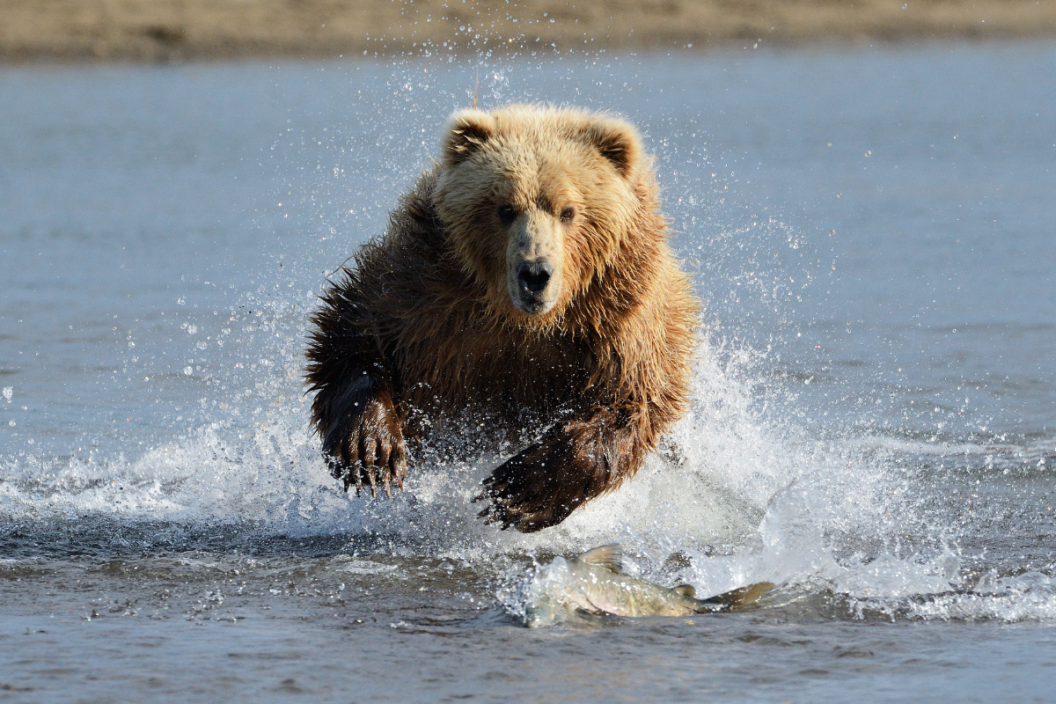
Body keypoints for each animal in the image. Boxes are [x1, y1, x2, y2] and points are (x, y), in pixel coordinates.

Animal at [306, 103, 696, 534]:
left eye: (569, 211)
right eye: (505, 209)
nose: (535, 273)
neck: (522, 320)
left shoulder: (619, 317)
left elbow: (629, 400)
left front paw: (518, 491)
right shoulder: (426, 290)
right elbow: (354, 332)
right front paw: (372, 450)